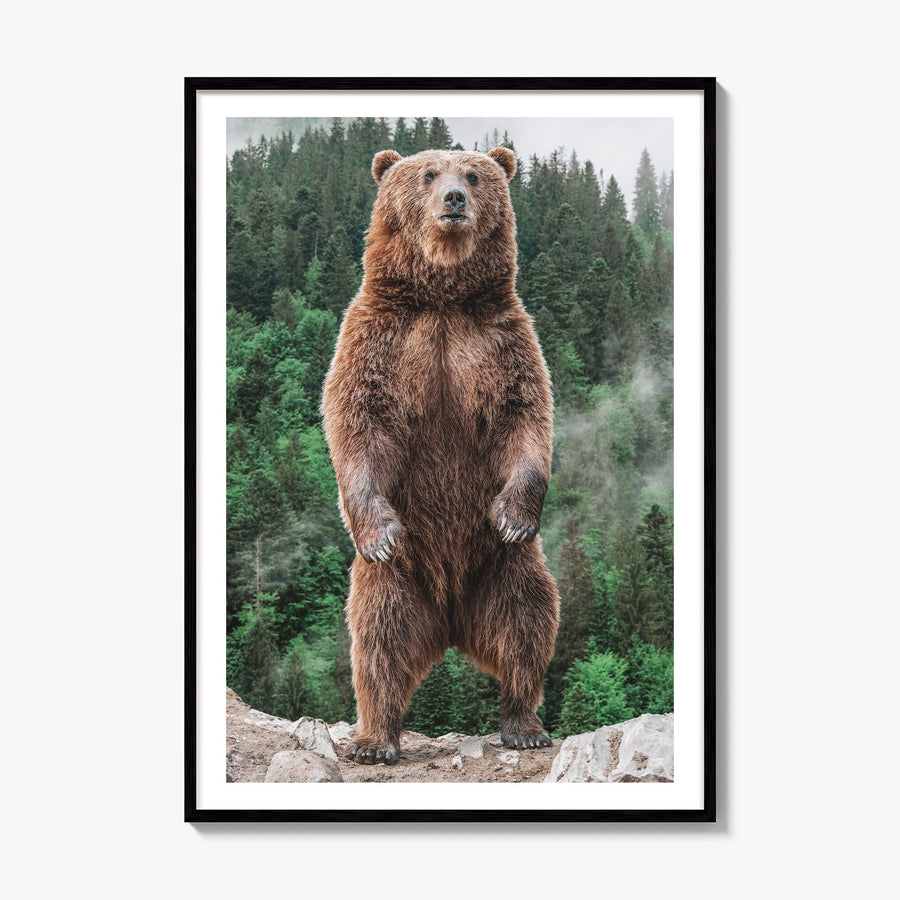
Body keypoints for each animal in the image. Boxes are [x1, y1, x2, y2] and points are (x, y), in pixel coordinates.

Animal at [321, 146, 559, 765]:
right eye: (428, 174)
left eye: (474, 175)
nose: (454, 198)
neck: (443, 297)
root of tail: (451, 620)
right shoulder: (381, 339)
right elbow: (358, 421)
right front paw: (378, 530)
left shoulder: (500, 340)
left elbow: (525, 417)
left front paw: (514, 514)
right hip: (399, 579)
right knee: (377, 640)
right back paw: (375, 739)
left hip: (502, 567)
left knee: (528, 621)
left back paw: (523, 723)